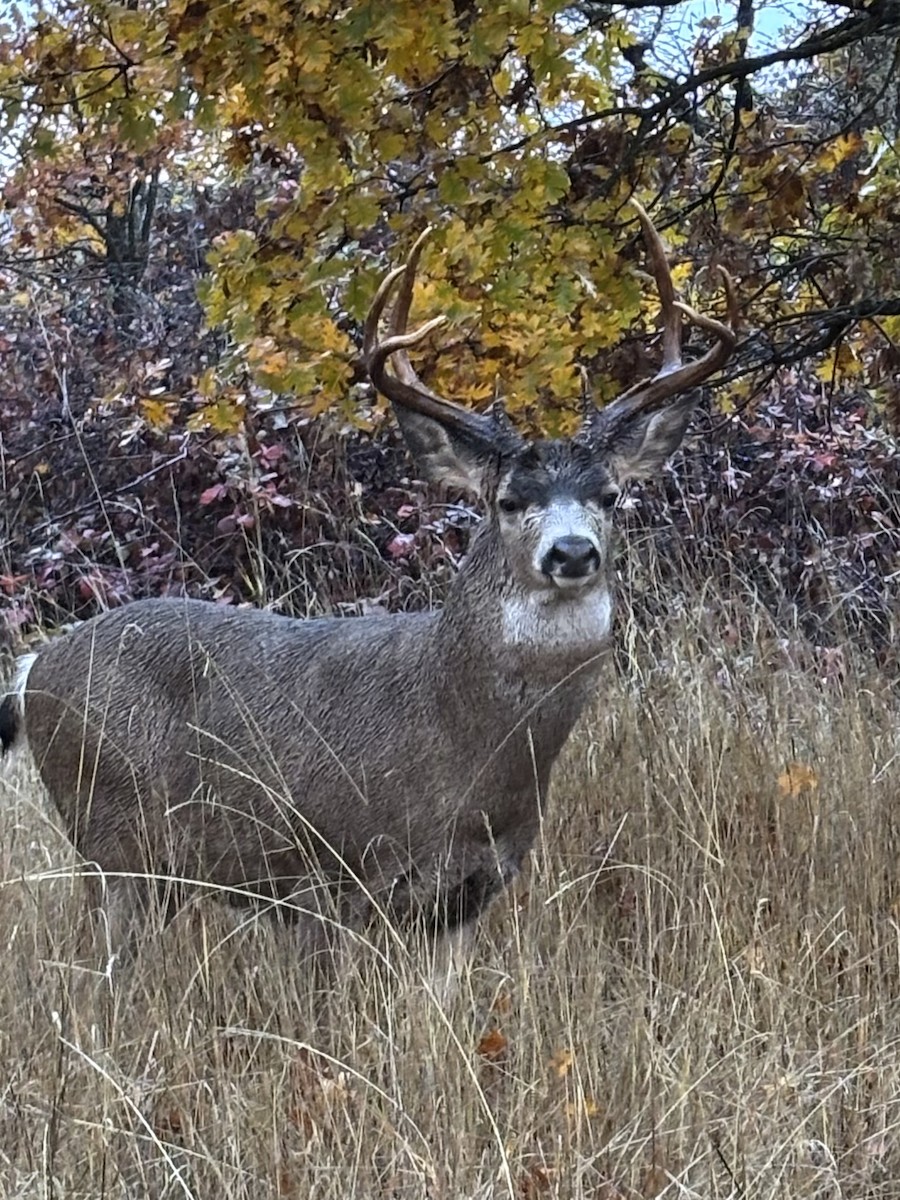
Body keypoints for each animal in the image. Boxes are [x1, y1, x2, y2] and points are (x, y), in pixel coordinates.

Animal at [0, 204, 737, 972]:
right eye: (508, 500)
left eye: (611, 496)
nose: (571, 551)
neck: (459, 742)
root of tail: (33, 668)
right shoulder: (327, 870)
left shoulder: (469, 891)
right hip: (113, 835)